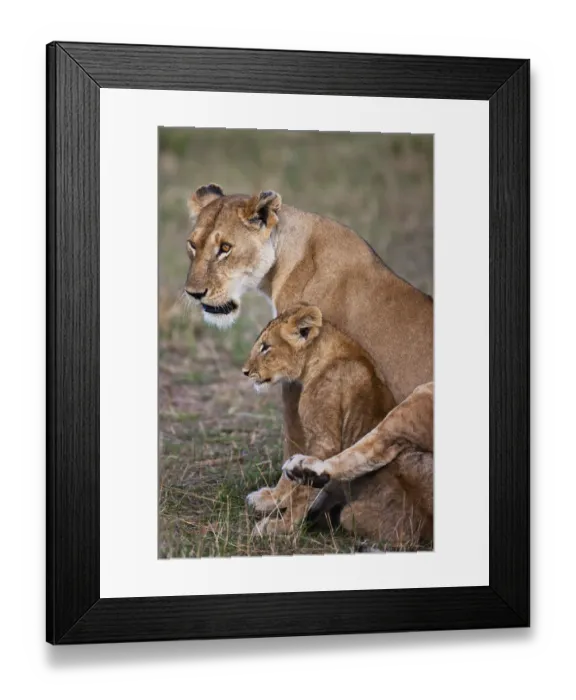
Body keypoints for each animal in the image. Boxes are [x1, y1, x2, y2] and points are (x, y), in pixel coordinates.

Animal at [184, 184, 433, 517]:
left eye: (225, 247)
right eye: (192, 245)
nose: (193, 294)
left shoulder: (294, 375)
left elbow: (294, 437)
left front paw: (275, 498)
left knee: (375, 446)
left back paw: (305, 470)